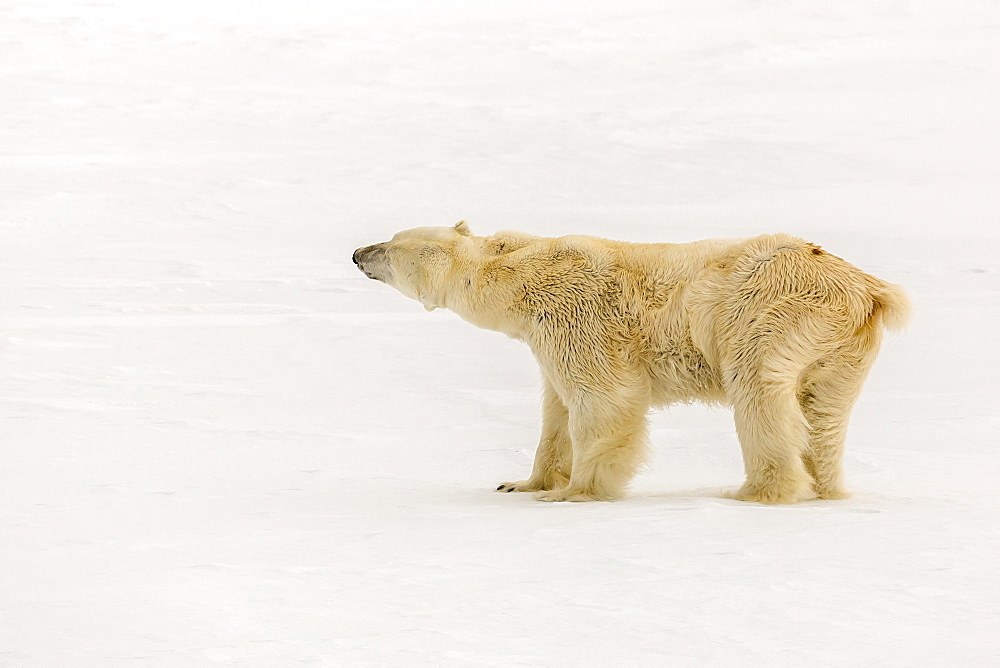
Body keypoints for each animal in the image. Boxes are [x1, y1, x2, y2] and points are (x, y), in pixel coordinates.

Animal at [352, 222, 908, 504]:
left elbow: (602, 398)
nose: (357, 252)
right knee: (824, 413)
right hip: (843, 348)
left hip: (773, 310)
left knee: (760, 395)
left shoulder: (575, 314)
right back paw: (825, 487)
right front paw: (523, 482)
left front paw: (575, 492)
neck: (519, 275)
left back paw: (754, 490)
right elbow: (554, 412)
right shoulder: (544, 337)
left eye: (389, 247)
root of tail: (869, 290)